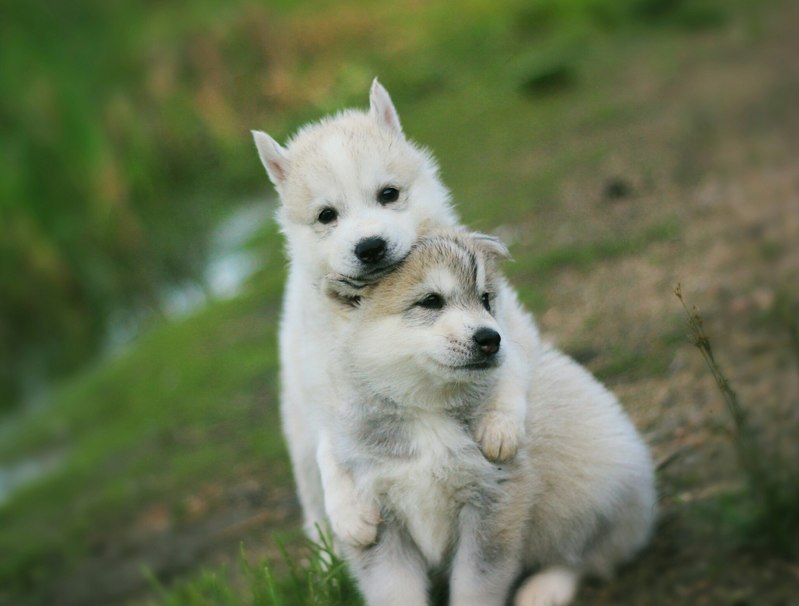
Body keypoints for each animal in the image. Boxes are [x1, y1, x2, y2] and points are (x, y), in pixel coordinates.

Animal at [252, 79, 536, 548]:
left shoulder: (507, 320)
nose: (370, 246)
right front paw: (349, 511)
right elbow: (331, 441)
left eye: (389, 194)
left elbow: (511, 362)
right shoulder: (324, 379)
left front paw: (500, 426)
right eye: (326, 216)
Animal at [324, 229, 656, 606]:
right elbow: (394, 591)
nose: (491, 339)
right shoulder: (382, 524)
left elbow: (475, 585)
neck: (427, 409)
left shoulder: (492, 504)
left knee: (589, 555)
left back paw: (546, 587)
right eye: (431, 301)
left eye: (485, 299)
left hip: (594, 496)